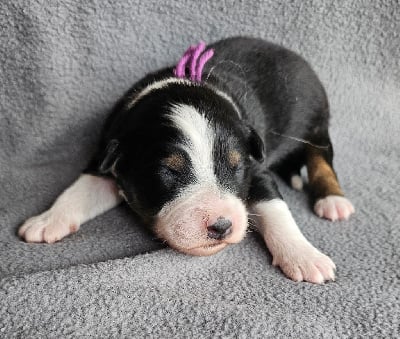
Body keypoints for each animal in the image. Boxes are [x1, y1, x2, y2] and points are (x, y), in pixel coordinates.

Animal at [19, 37, 356, 284]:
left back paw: (332, 200)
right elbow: (79, 189)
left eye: (236, 168)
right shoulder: (108, 155)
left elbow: (276, 210)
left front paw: (304, 256)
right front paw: (46, 220)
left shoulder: (256, 168)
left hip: (316, 121)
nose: (221, 226)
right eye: (168, 171)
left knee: (321, 158)